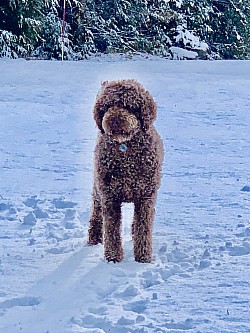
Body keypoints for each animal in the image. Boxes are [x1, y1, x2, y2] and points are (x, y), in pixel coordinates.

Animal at [88, 80, 164, 262]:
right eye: (107, 106)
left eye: (128, 105)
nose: (114, 119)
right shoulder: (109, 196)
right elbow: (112, 230)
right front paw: (113, 258)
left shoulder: (145, 196)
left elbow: (143, 227)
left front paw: (143, 257)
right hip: (97, 189)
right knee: (96, 214)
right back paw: (94, 238)